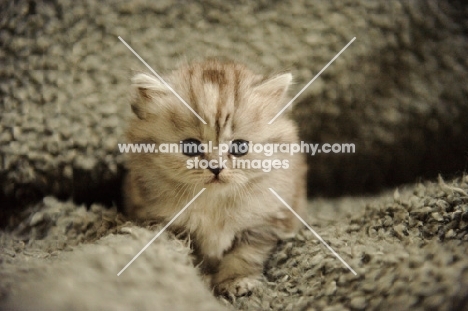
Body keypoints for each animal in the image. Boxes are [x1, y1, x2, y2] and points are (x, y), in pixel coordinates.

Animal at [124, 59, 308, 300]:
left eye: (239, 147)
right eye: (190, 147)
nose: (216, 168)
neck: (213, 202)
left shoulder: (262, 224)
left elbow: (244, 255)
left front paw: (236, 281)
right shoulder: (169, 226)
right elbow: (190, 256)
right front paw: (201, 281)